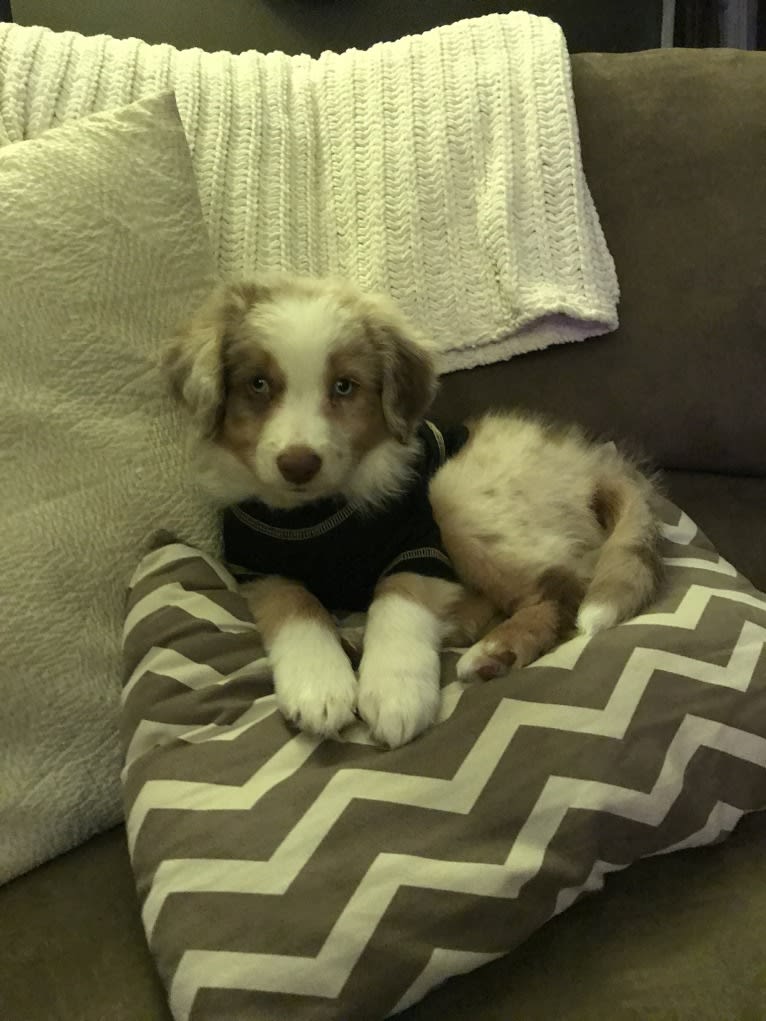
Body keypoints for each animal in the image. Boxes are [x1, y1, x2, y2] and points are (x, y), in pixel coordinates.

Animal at [163, 271, 665, 751]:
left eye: (344, 387)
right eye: (258, 384)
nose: (298, 464)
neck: (315, 514)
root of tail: (589, 465)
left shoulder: (419, 546)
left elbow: (398, 602)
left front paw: (395, 692)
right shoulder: (261, 570)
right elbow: (295, 606)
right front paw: (320, 687)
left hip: (454, 493)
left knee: (564, 589)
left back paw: (495, 651)